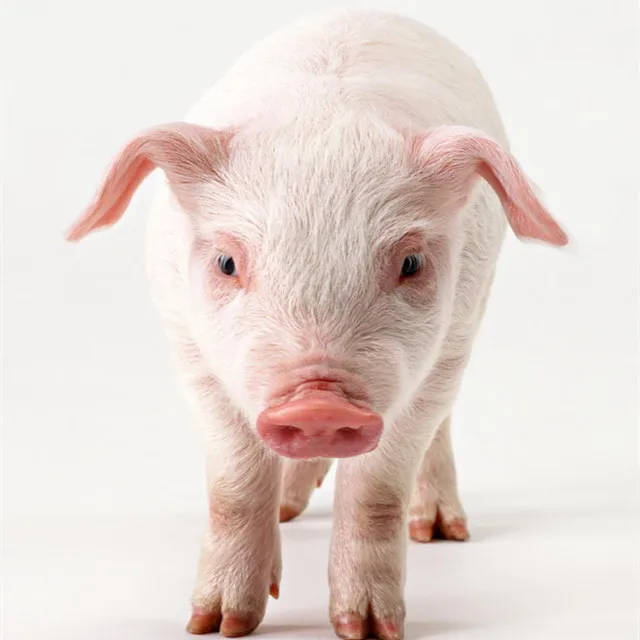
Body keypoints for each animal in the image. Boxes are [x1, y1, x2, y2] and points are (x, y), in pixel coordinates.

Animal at [66, 9, 568, 640]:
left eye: (411, 262)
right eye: (227, 262)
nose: (319, 405)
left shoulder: (442, 353)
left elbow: (378, 489)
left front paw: (367, 629)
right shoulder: (189, 345)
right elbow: (233, 485)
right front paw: (216, 624)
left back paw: (440, 532)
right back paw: (289, 510)